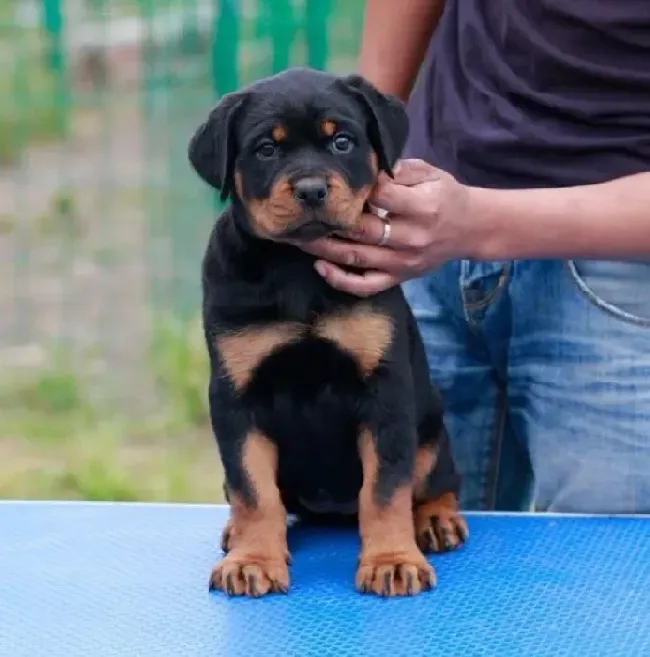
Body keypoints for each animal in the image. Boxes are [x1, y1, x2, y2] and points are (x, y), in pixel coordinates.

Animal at [187, 68, 466, 600]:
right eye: (266, 150)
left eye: (342, 141)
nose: (312, 190)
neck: (297, 265)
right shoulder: (235, 398)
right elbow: (253, 489)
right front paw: (252, 560)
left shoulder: (384, 393)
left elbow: (385, 488)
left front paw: (392, 561)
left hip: (432, 435)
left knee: (435, 480)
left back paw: (436, 520)